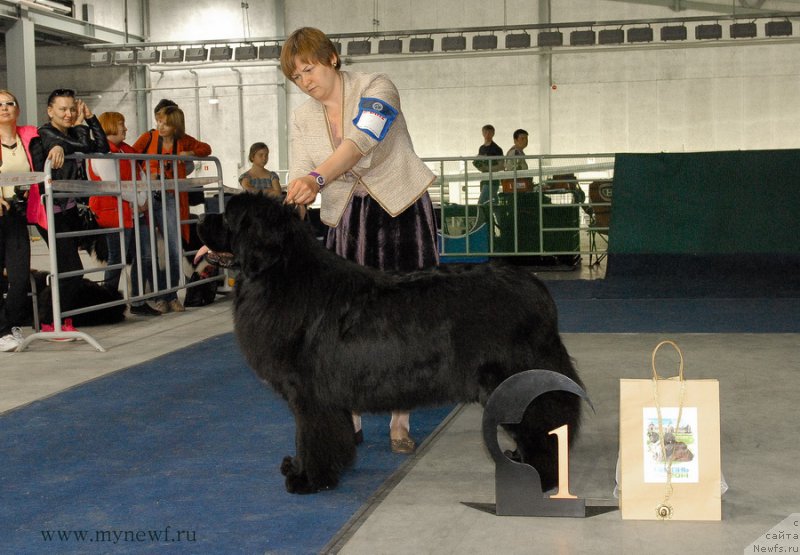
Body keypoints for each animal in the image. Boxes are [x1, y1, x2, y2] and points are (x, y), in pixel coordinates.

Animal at [197, 194, 584, 496]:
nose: (200, 218)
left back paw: (539, 476)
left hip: (511, 380)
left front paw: (307, 478)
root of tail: (534, 289)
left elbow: (309, 436)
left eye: (228, 216)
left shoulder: (308, 394)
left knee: (544, 424)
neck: (280, 272)